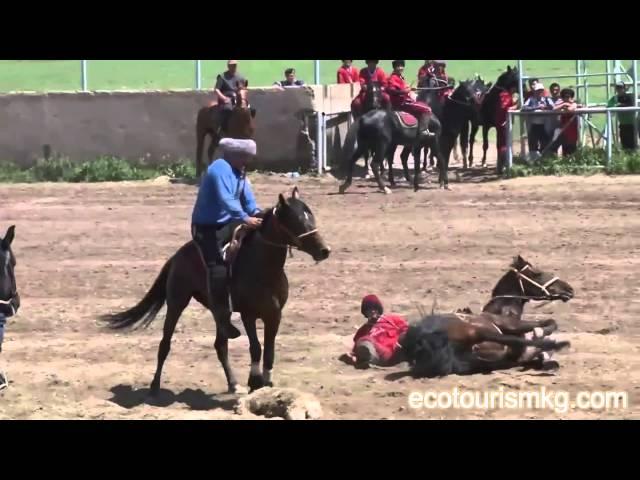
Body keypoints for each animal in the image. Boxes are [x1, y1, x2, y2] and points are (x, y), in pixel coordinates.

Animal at [102, 189, 332, 396]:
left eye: (310, 215)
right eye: (295, 220)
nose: (324, 251)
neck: (263, 268)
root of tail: (178, 255)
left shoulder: (274, 315)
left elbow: (269, 351)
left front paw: (266, 382)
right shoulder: (249, 314)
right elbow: (256, 347)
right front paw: (255, 381)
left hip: (218, 310)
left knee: (221, 345)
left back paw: (233, 383)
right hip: (177, 302)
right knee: (165, 344)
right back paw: (154, 387)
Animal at [400, 256, 576, 376]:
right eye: (537, 273)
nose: (569, 289)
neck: (503, 307)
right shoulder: (510, 324)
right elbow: (549, 322)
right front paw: (541, 335)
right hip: (478, 333)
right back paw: (559, 344)